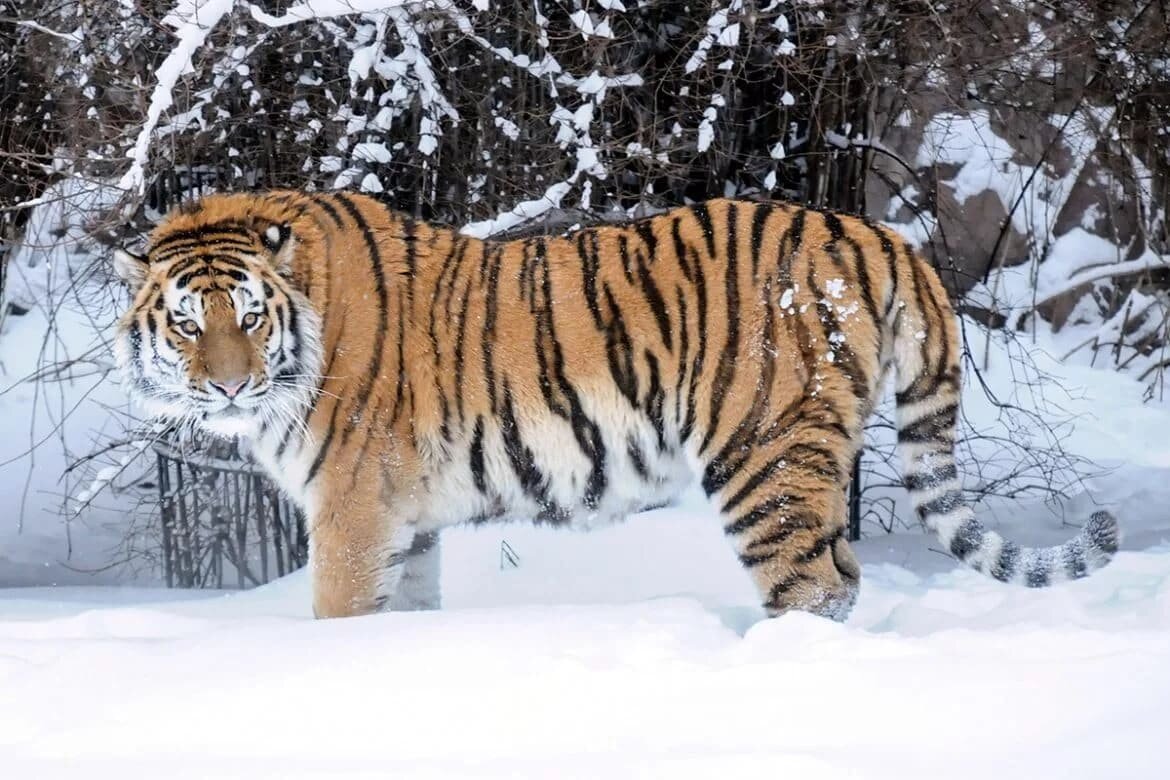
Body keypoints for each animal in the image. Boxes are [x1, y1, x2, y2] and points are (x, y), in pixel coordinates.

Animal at [114, 190, 1118, 622]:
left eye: (248, 317)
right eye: (187, 324)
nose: (229, 384)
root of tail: (881, 234)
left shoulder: (353, 512)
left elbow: (338, 612)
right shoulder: (407, 518)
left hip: (765, 456)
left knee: (817, 586)